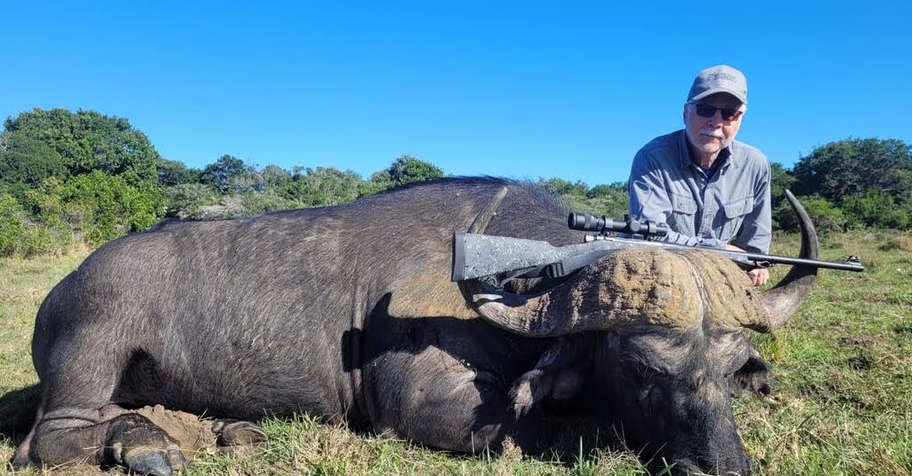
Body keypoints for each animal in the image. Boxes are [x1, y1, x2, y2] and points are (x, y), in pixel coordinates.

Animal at [12, 177, 818, 475]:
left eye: (729, 369)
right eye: (643, 366)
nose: (722, 468)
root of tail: (63, 287)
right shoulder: (430, 410)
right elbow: (540, 426)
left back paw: (219, 432)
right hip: (93, 349)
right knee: (51, 437)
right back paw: (149, 446)